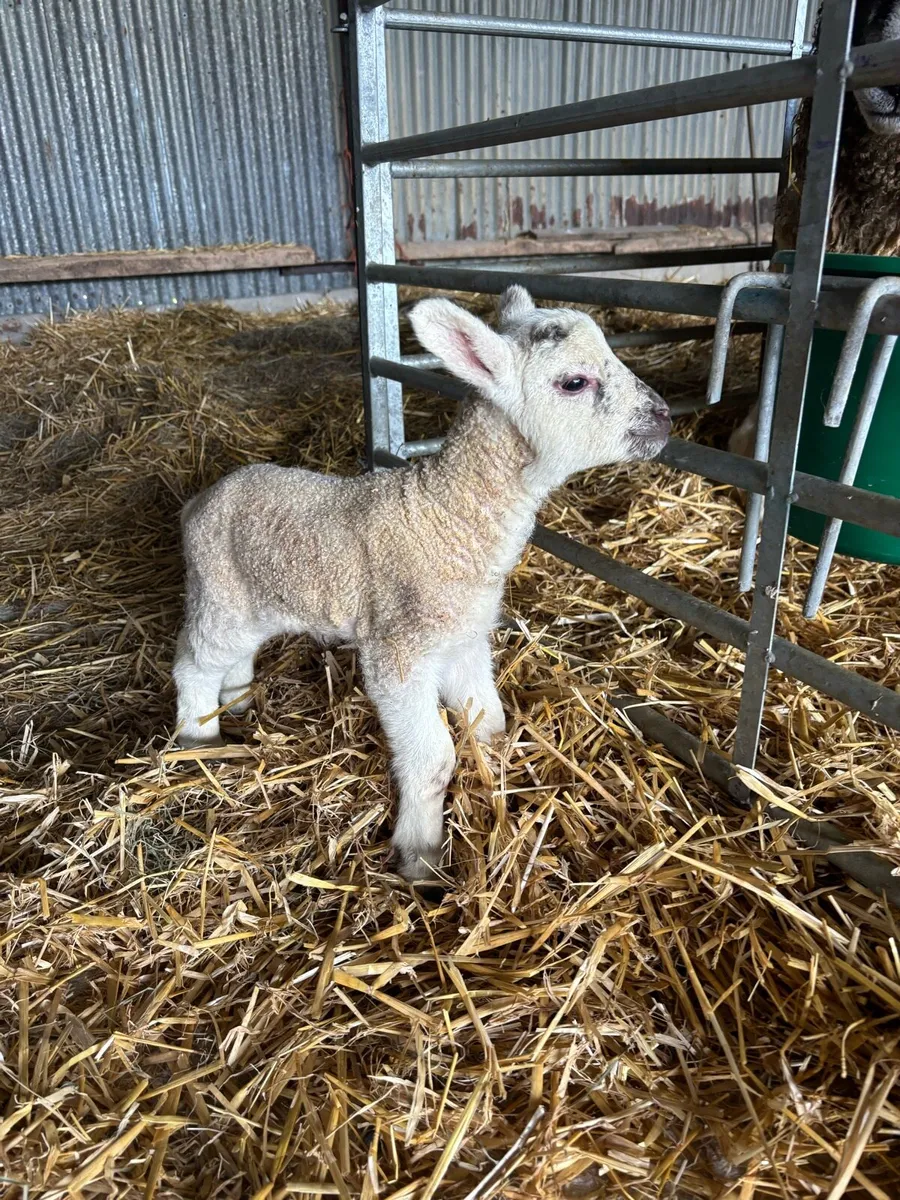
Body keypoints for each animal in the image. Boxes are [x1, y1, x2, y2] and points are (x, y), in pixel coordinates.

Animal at [172, 286, 670, 881]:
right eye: (574, 382)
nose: (664, 417)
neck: (445, 515)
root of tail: (200, 500)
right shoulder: (398, 653)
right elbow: (433, 759)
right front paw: (421, 859)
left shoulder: (466, 641)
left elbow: (490, 724)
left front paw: (493, 774)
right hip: (219, 591)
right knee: (193, 662)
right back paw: (200, 737)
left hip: (261, 595)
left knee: (236, 654)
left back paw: (238, 701)